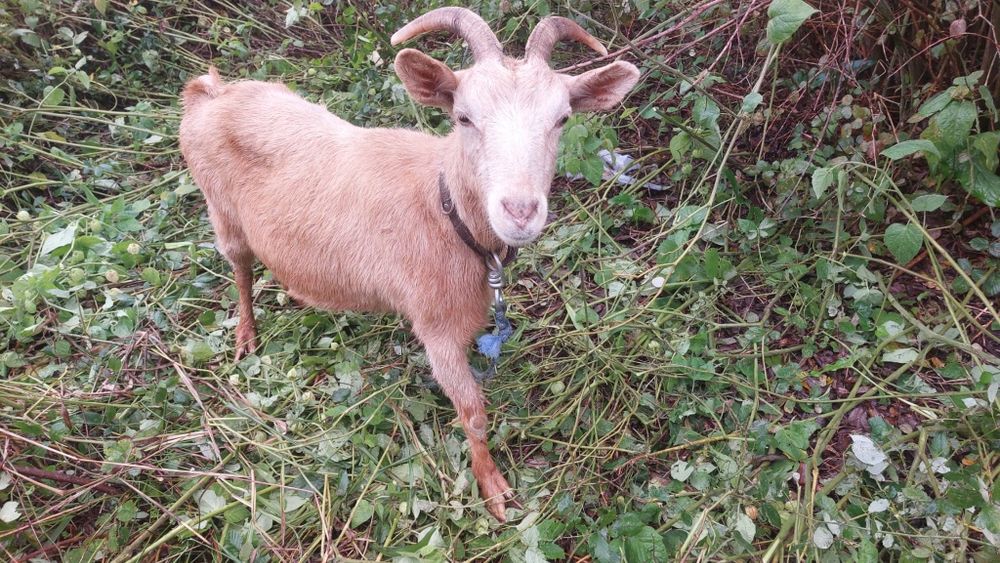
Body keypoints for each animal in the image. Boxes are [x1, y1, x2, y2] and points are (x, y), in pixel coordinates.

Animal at [178, 7, 639, 521]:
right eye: (463, 116)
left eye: (562, 118)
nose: (519, 211)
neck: (442, 205)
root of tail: (210, 92)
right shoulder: (436, 330)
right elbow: (473, 413)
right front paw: (493, 488)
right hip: (221, 212)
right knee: (239, 270)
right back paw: (246, 336)